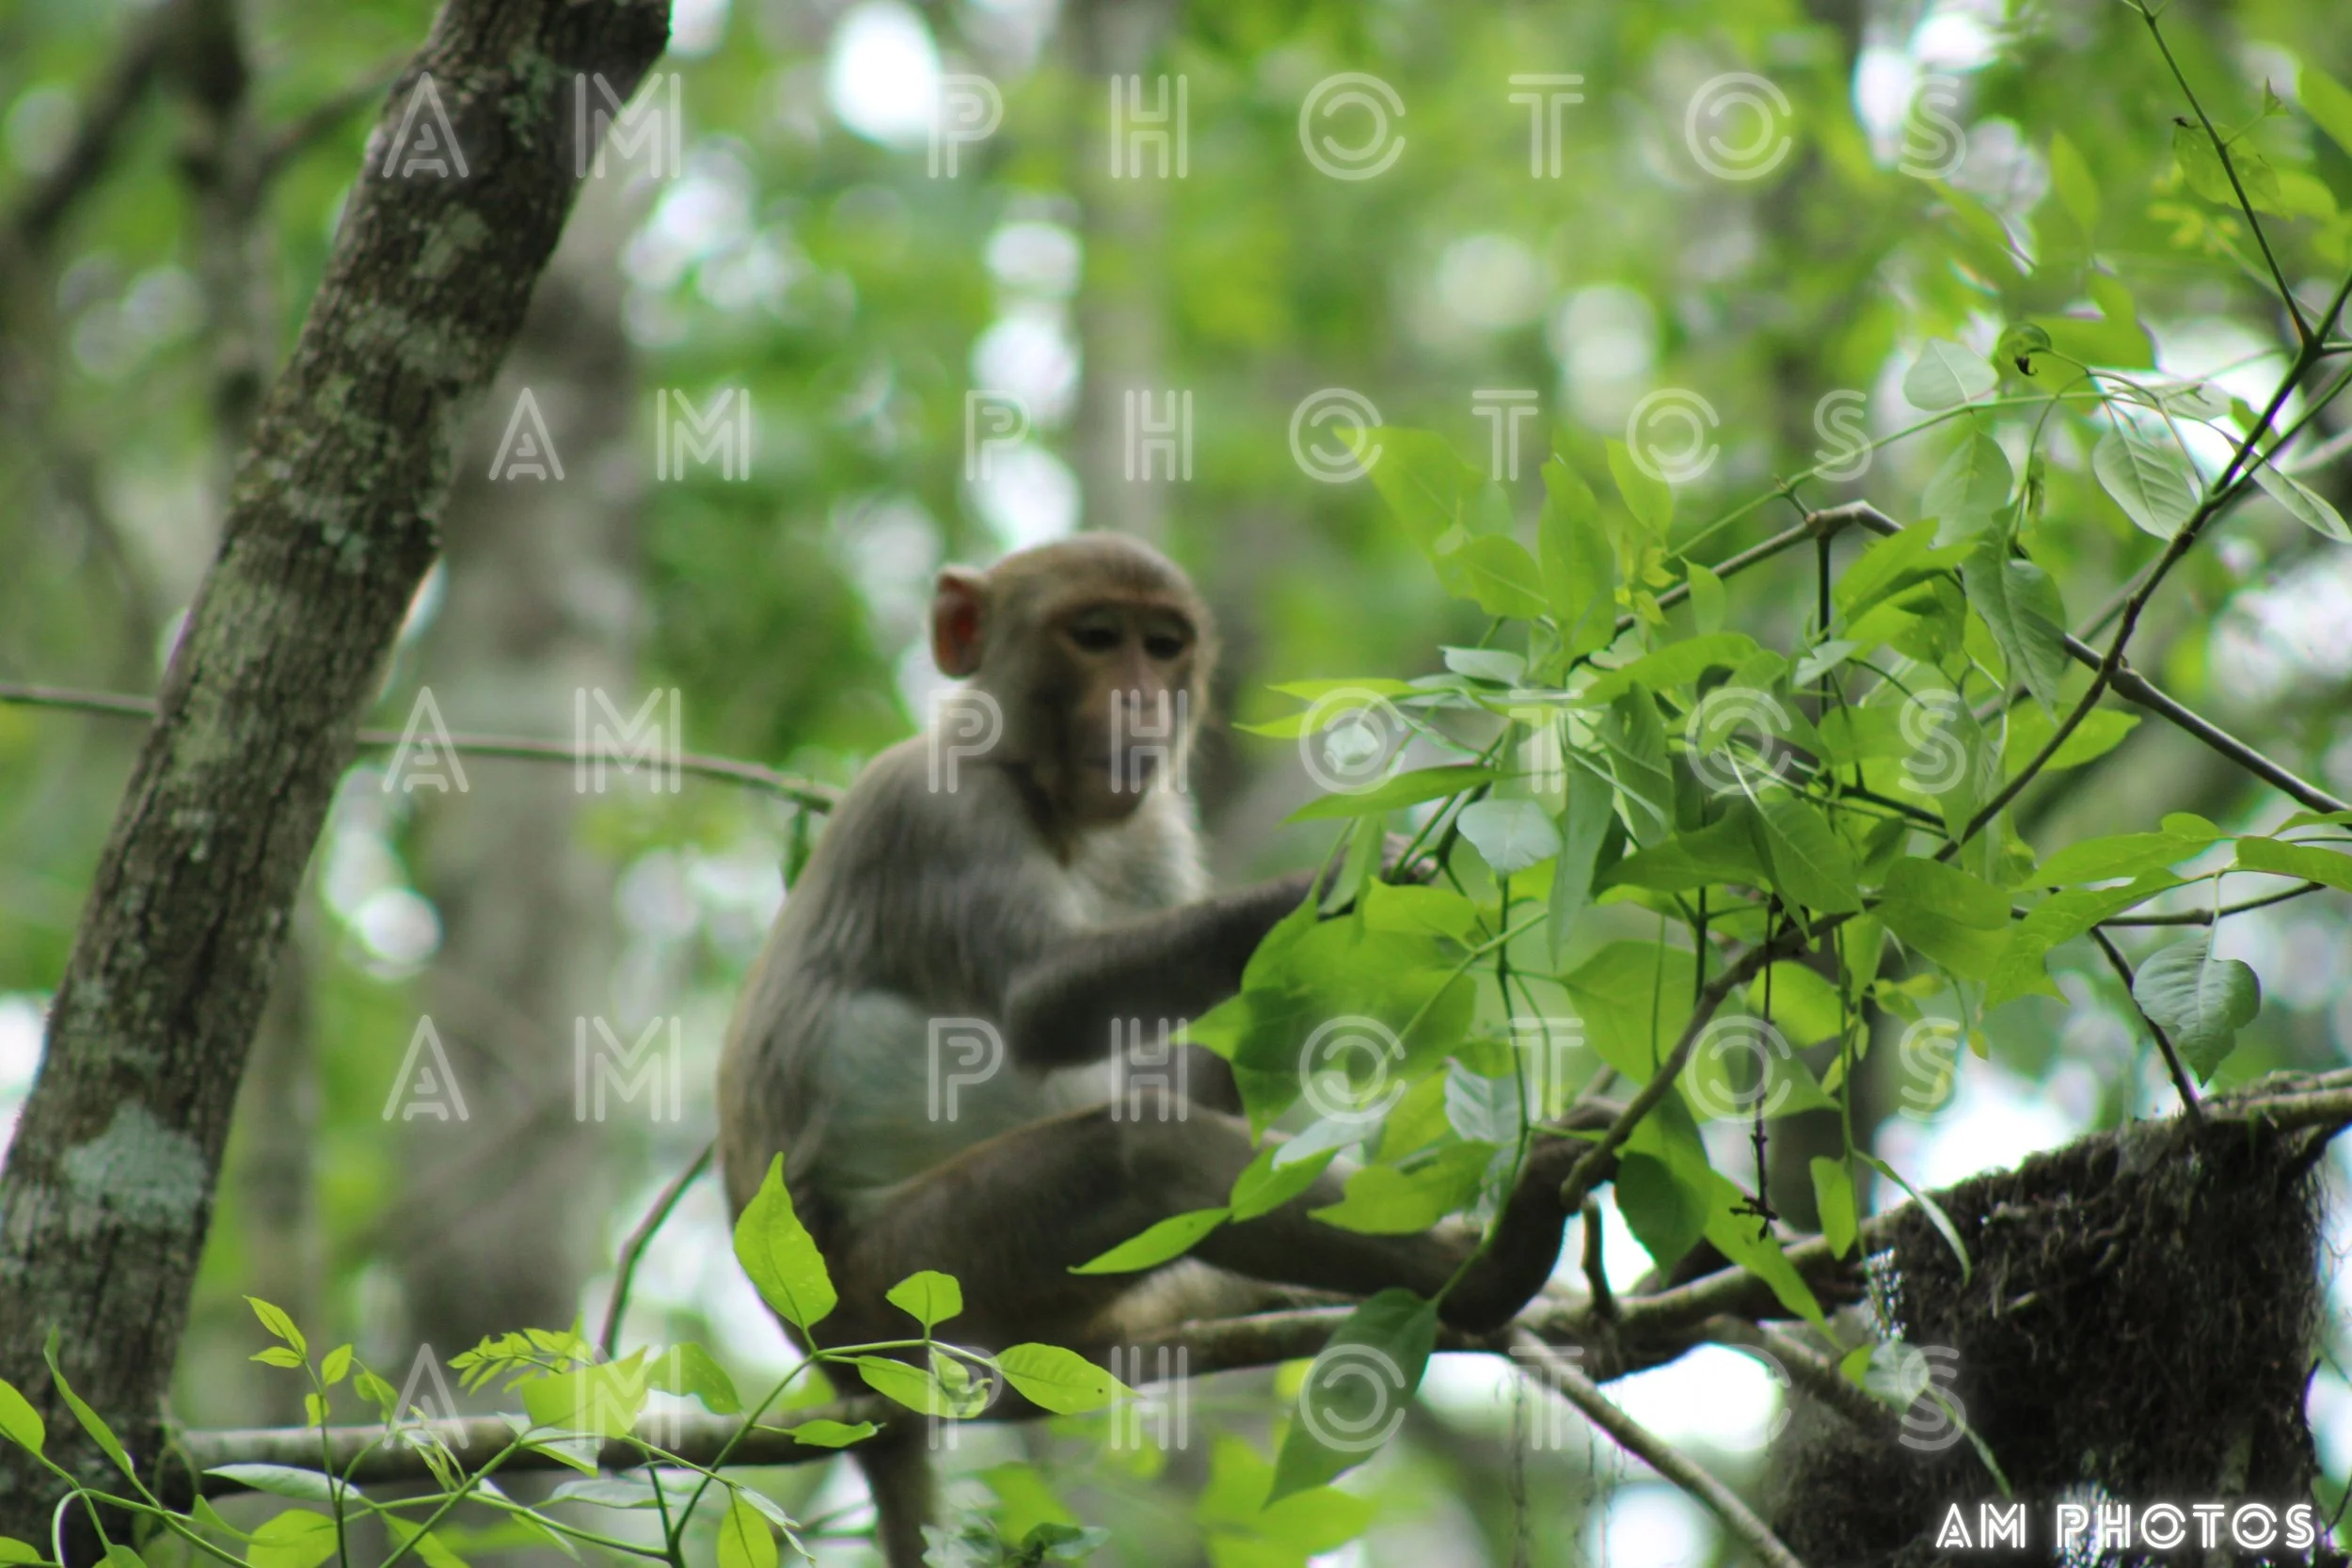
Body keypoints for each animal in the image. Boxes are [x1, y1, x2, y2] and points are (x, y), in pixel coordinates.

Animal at [716, 533, 1589, 1566]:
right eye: (1096, 638)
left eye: (1163, 646)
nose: (1143, 700)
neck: (1053, 804)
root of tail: (825, 1360)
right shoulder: (937, 808)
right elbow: (1041, 1003)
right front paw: (1333, 888)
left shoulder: (1155, 831)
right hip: (898, 1283)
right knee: (1138, 1150)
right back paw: (1497, 1268)